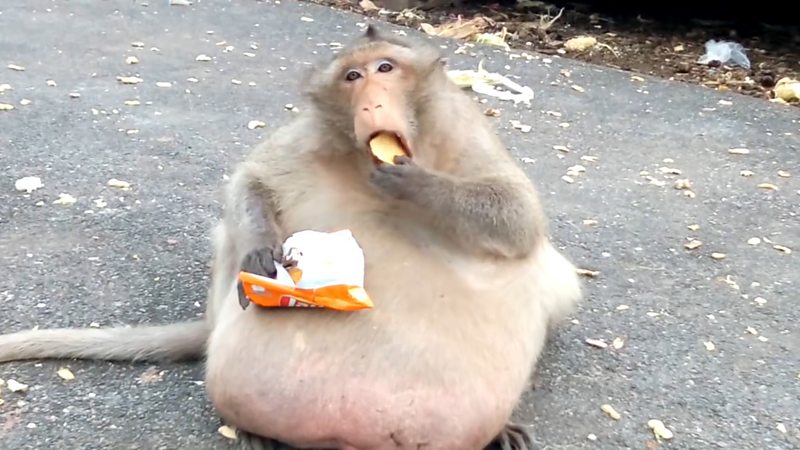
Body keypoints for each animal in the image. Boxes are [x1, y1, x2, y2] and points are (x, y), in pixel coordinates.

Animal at [0, 25, 580, 450]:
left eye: (385, 69)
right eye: (352, 76)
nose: (371, 102)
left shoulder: (464, 129)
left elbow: (519, 218)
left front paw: (416, 184)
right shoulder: (308, 136)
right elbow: (249, 182)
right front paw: (261, 251)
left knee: (550, 269)